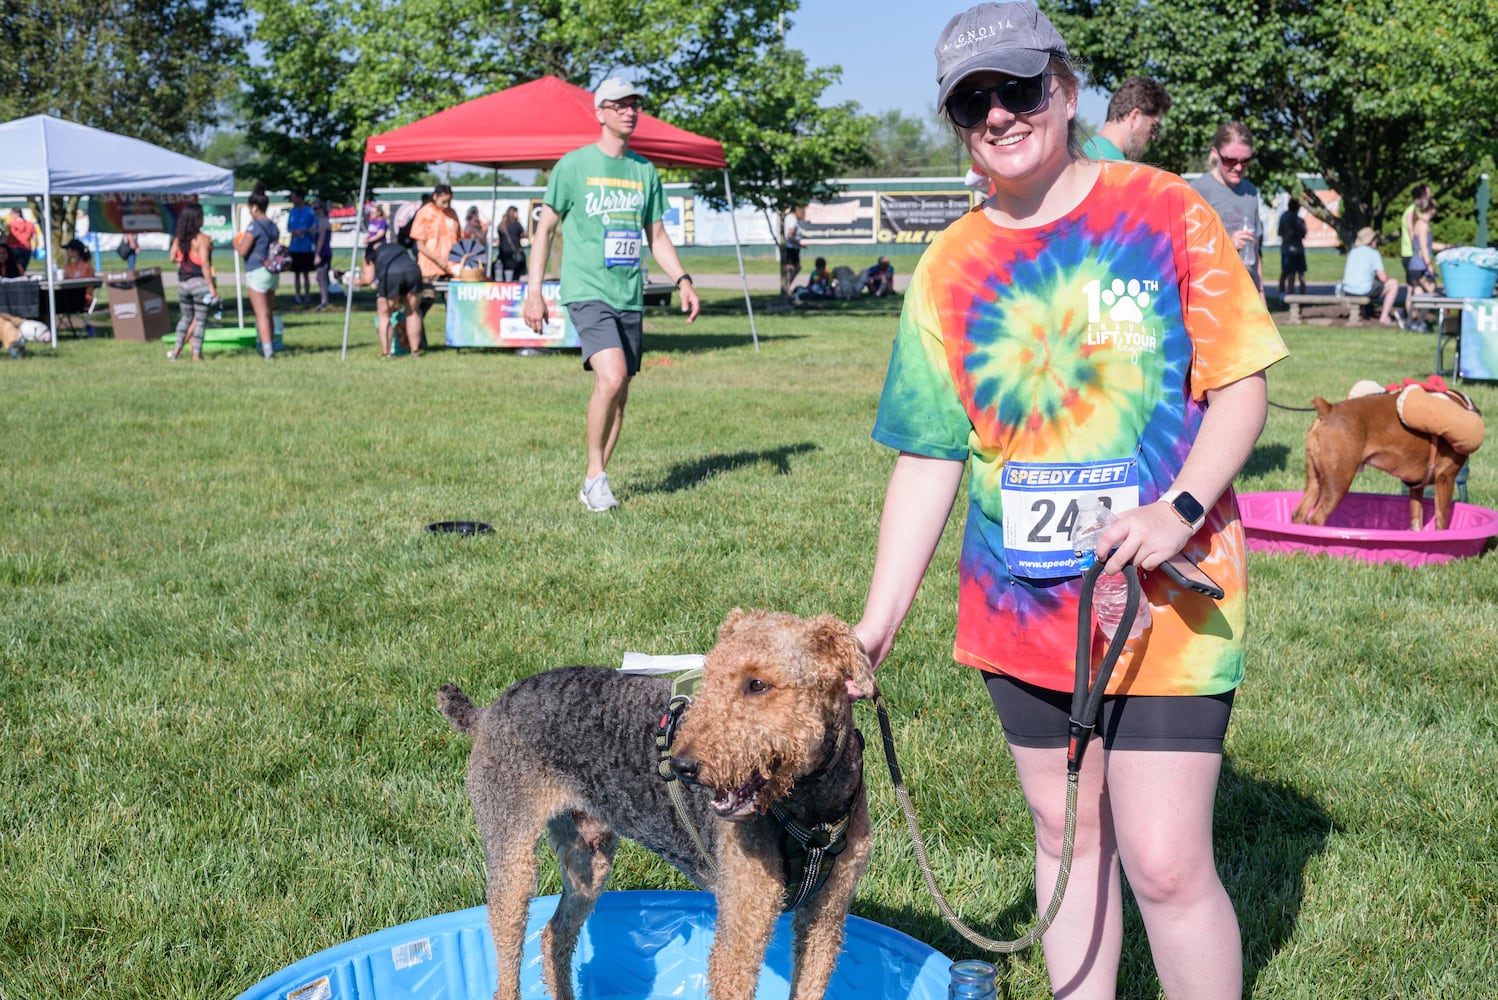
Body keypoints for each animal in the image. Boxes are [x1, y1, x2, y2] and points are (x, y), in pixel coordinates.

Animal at [437, 610, 874, 999]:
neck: (812, 810)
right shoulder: (743, 925)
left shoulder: (824, 920)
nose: (682, 766)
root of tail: (488, 711)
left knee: (553, 935)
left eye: (757, 684)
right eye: (710, 677)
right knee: (508, 964)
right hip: (512, 858)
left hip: (588, 861)